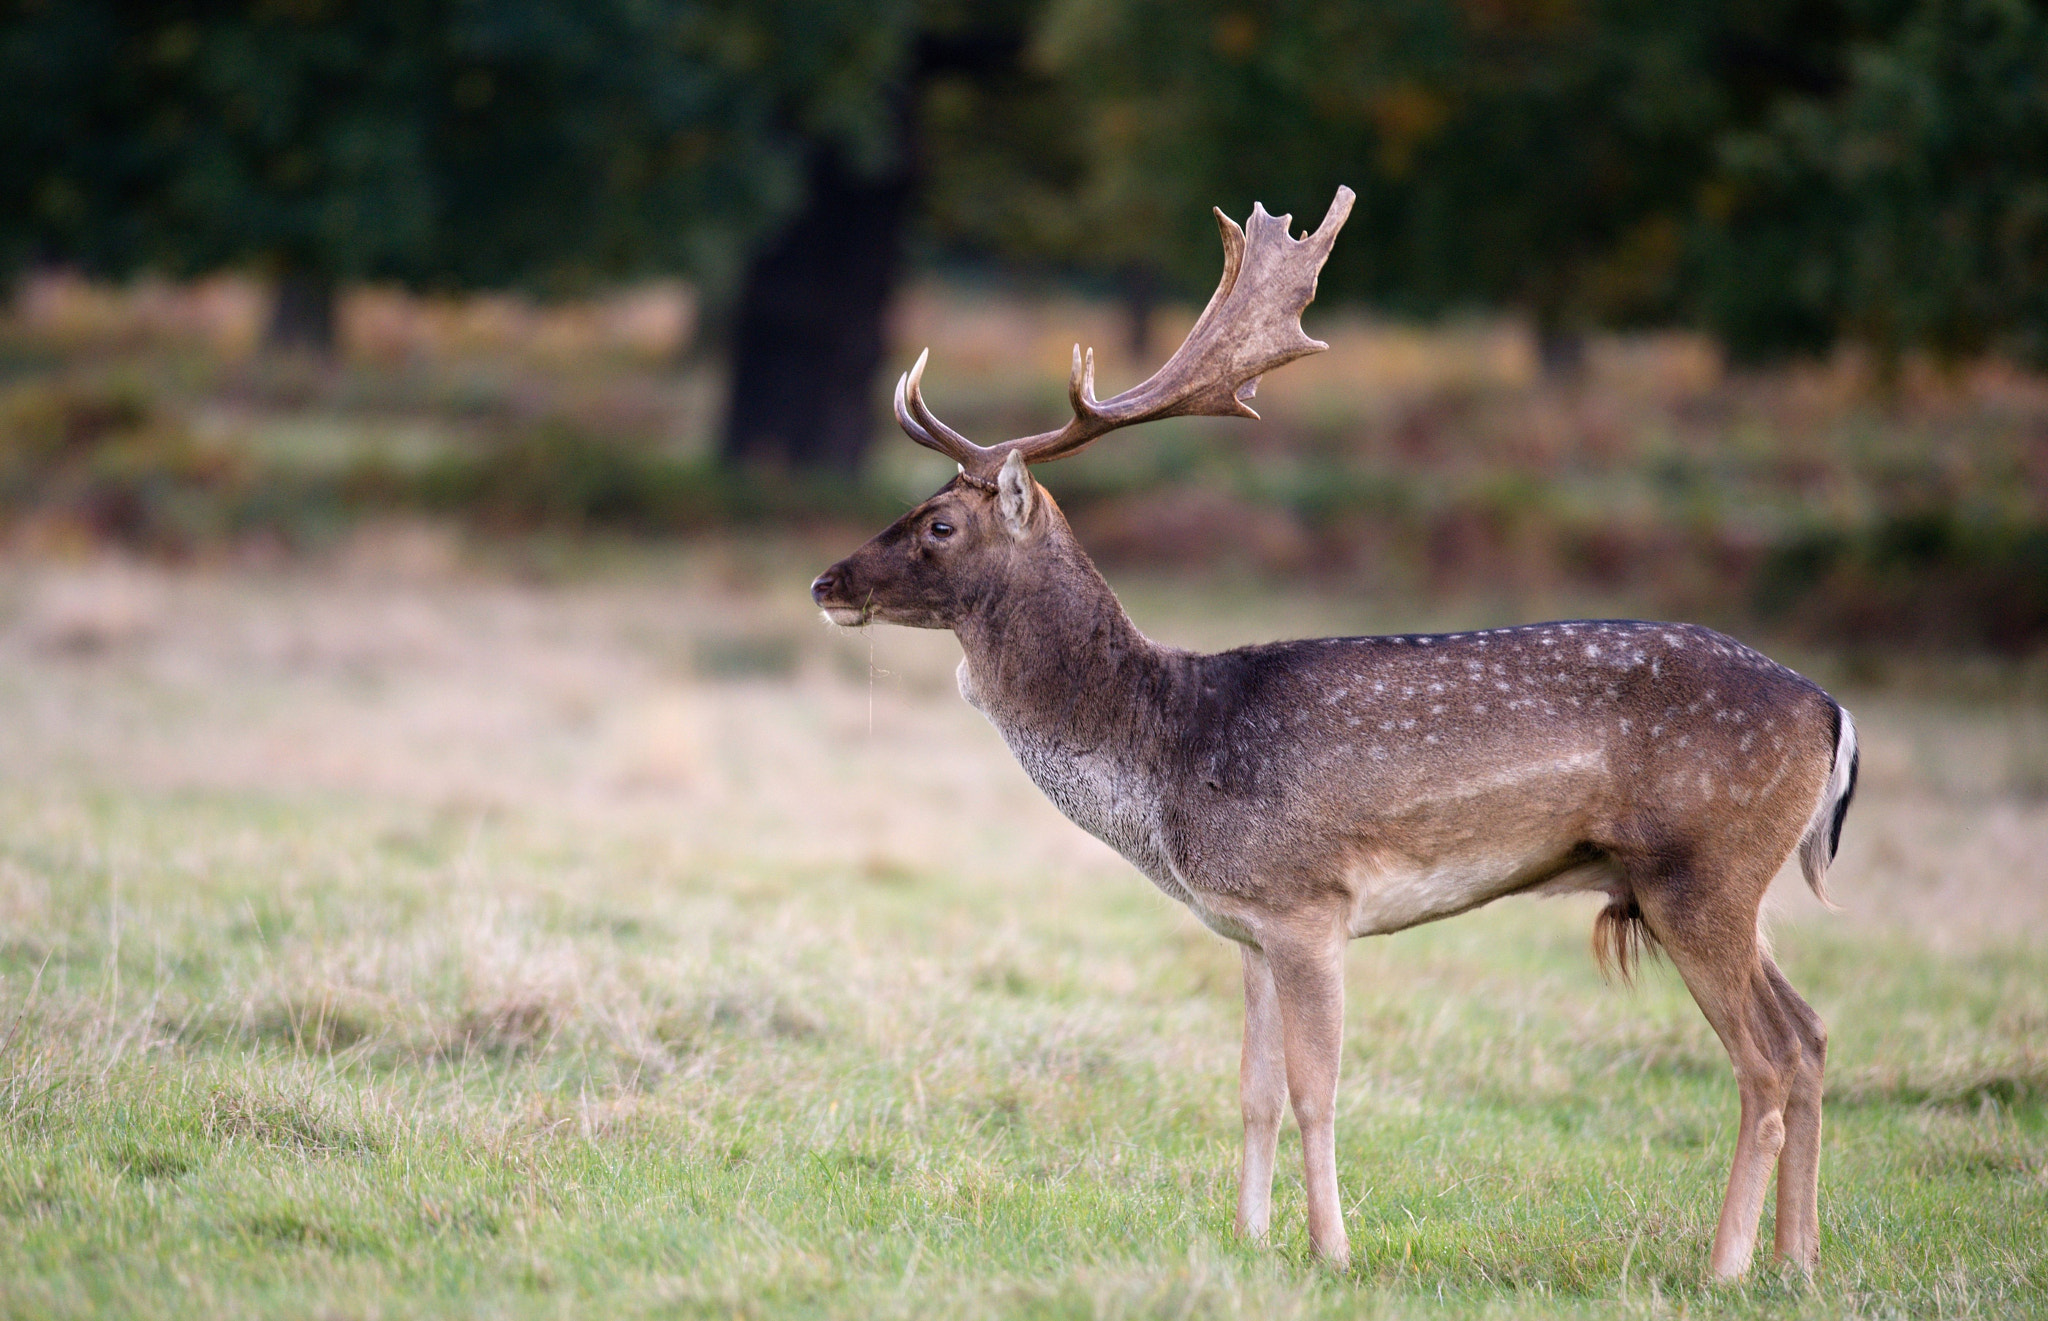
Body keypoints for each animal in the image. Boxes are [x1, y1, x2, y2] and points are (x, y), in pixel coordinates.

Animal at [811, 185, 1859, 1277]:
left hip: (1701, 870)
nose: (825, 582)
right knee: (1811, 1034)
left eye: (939, 525)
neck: (1167, 750)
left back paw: (1725, 1264)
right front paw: (1247, 1237)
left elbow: (1316, 1089)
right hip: (1723, 886)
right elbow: (1253, 1092)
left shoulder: (1307, 900)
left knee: (1765, 1061)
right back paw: (1797, 1262)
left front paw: (1331, 1249)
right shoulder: (1245, 926)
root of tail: (1833, 714)